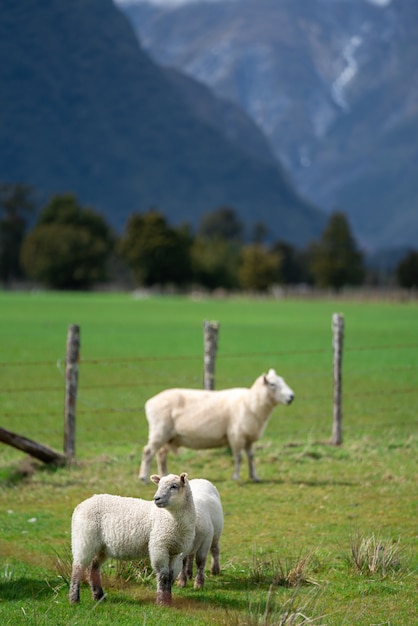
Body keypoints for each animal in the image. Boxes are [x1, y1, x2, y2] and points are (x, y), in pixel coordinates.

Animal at [69, 472, 197, 604]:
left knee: (93, 567)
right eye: (158, 485)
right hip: (84, 538)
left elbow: (170, 576)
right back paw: (74, 599)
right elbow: (163, 575)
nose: (156, 498)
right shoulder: (159, 546)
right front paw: (162, 602)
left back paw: (99, 596)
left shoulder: (175, 551)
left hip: (101, 547)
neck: (171, 518)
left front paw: (168, 600)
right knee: (78, 567)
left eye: (174, 486)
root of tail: (81, 505)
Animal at [139, 366, 292, 482]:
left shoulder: (248, 436)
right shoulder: (236, 435)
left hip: (168, 436)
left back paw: (165, 475)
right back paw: (143, 478)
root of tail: (150, 402)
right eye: (272, 384)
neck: (250, 403)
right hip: (159, 431)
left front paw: (254, 476)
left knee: (161, 455)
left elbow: (251, 456)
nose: (292, 397)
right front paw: (236, 477)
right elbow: (238, 457)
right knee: (148, 452)